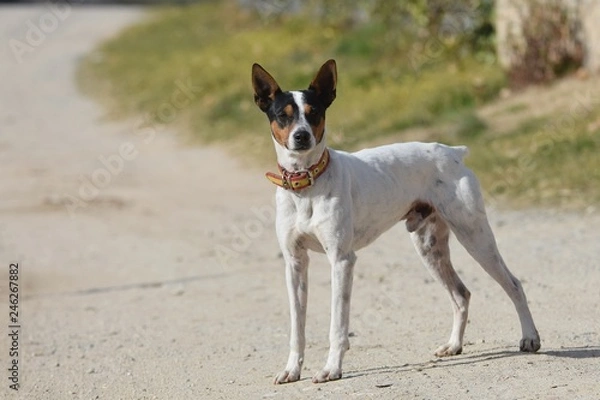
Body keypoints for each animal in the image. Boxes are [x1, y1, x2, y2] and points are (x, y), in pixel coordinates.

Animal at [251, 59, 540, 384]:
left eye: (315, 113)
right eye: (283, 116)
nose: (301, 136)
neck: (307, 186)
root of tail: (452, 152)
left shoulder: (341, 260)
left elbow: (337, 325)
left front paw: (331, 369)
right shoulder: (295, 263)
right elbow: (297, 327)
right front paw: (292, 369)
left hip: (475, 237)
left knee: (514, 285)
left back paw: (530, 337)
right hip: (429, 248)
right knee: (461, 294)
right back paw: (454, 345)